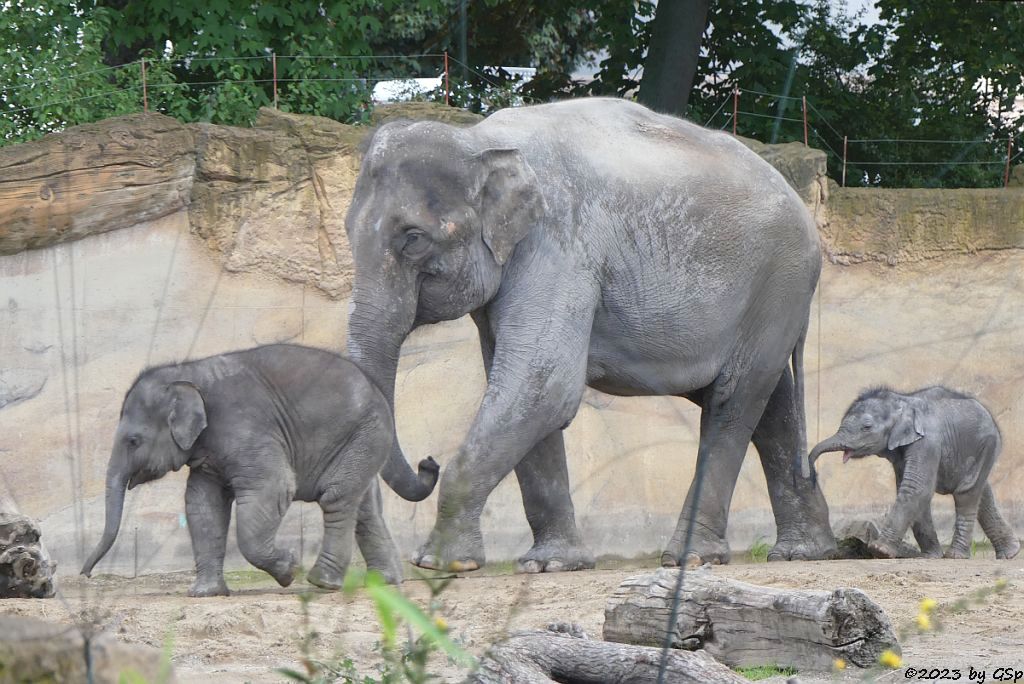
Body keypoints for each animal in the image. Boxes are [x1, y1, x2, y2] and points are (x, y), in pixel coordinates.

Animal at [75, 344, 436, 593]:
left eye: (133, 441)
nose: (85, 574)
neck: (189, 372)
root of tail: (380, 394)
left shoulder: (245, 428)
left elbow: (273, 487)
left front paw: (289, 570)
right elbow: (203, 504)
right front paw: (205, 594)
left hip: (364, 432)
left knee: (337, 498)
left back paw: (322, 582)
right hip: (360, 440)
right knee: (364, 507)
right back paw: (386, 582)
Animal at [348, 96, 835, 573]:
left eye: (413, 238)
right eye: (348, 234)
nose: (427, 462)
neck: (478, 140)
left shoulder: (558, 246)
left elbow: (544, 385)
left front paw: (441, 563)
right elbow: (525, 394)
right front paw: (551, 565)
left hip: (779, 281)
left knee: (731, 404)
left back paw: (691, 557)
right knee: (770, 406)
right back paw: (803, 552)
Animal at [802, 387, 1019, 557]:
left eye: (866, 427)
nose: (811, 476)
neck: (902, 401)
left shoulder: (927, 442)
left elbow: (917, 487)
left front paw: (880, 551)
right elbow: (908, 487)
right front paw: (929, 556)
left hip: (986, 444)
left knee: (967, 492)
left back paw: (956, 556)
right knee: (983, 493)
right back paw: (1010, 553)